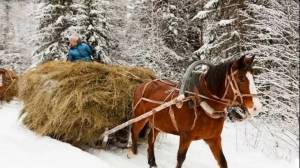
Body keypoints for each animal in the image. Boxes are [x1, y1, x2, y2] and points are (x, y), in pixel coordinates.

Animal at [127, 56, 262, 168]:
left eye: (253, 77)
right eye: (241, 78)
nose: (257, 108)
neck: (202, 103)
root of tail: (142, 84)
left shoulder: (214, 139)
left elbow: (223, 161)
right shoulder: (185, 137)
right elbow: (180, 159)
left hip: (158, 122)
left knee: (151, 138)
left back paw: (152, 162)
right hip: (141, 117)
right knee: (134, 131)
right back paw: (132, 153)